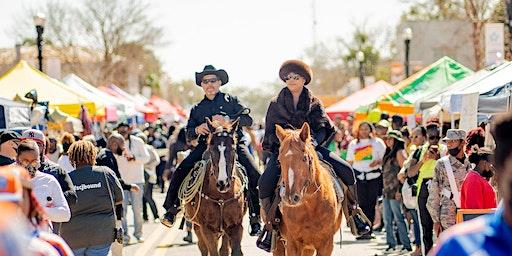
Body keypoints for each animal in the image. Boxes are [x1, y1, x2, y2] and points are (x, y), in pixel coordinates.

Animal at [184, 118, 248, 256]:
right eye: (211, 149)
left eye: (233, 149)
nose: (223, 183)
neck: (221, 196)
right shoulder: (207, 229)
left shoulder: (235, 226)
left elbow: (234, 251)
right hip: (198, 227)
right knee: (203, 248)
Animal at [272, 123, 344, 255]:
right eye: (279, 160)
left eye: (305, 158)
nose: (290, 198)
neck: (310, 204)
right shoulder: (293, 244)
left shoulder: (326, 245)